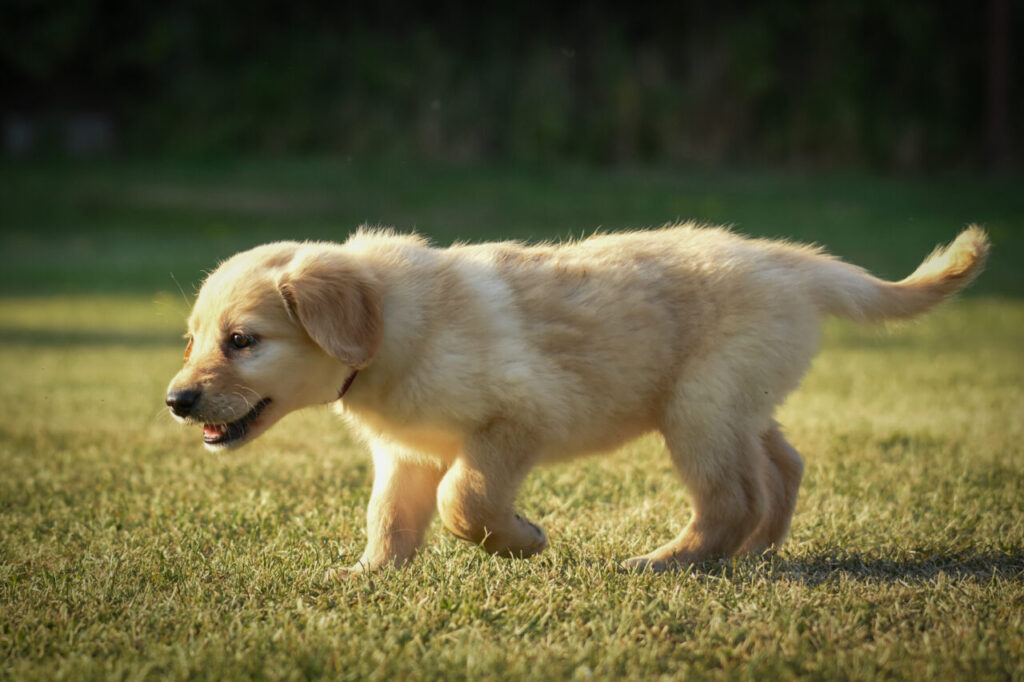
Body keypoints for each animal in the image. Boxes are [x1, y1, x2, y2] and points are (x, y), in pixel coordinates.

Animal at [163, 225, 987, 569]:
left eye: (241, 341)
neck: (392, 325)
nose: (175, 401)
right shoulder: (406, 451)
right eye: (191, 339)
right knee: (781, 466)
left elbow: (465, 499)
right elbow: (390, 517)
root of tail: (789, 262)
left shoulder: (517, 418)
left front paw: (524, 539)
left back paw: (667, 562)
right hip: (738, 402)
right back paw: (754, 552)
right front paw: (369, 575)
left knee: (731, 498)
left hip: (699, 409)